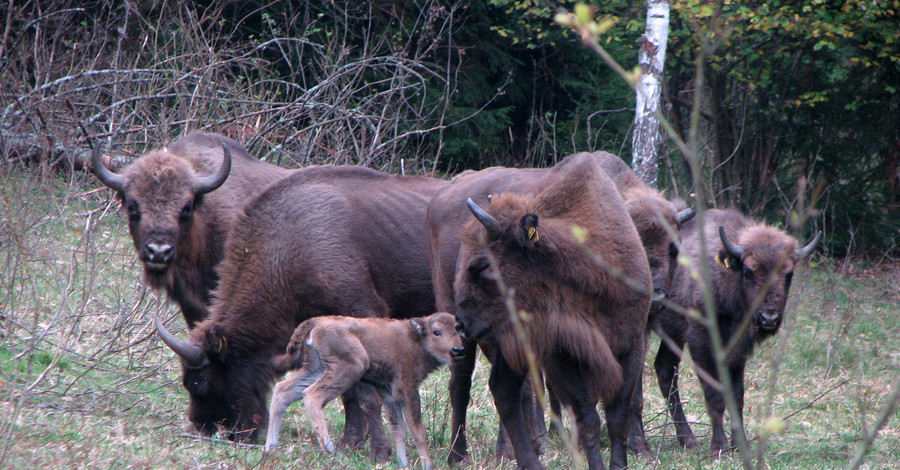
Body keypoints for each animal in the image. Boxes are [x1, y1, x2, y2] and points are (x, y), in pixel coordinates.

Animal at [156, 165, 450, 456]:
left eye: (196, 382)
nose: (206, 429)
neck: (290, 245)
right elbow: (350, 394)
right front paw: (351, 443)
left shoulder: (363, 315)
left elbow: (365, 395)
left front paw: (376, 451)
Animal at [264, 312, 464, 470]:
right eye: (436, 332)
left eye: (458, 330)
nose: (458, 350)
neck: (416, 339)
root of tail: (316, 321)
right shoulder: (408, 390)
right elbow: (417, 431)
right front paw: (427, 465)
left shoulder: (388, 393)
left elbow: (398, 429)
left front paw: (403, 463)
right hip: (351, 367)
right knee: (312, 395)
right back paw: (329, 449)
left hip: (316, 368)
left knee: (282, 391)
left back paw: (270, 446)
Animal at [454, 156, 652, 468]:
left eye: (482, 265)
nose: (461, 323)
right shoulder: (562, 356)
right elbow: (588, 420)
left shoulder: (632, 344)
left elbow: (617, 418)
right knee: (505, 391)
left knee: (503, 390)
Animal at [652, 209, 820, 452]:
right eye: (748, 272)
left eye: (788, 275)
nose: (769, 317)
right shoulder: (700, 340)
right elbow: (714, 393)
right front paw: (719, 445)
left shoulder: (738, 349)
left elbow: (737, 395)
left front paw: (740, 444)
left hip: (671, 334)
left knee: (664, 371)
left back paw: (688, 440)